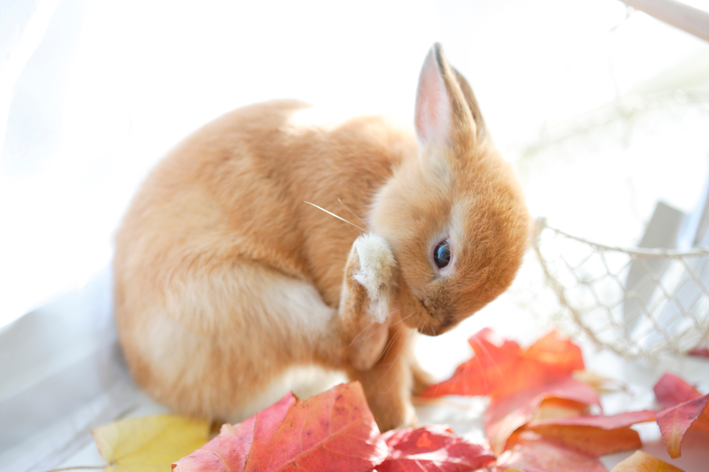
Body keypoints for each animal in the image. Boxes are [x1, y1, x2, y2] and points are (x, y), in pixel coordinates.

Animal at [113, 43, 530, 431]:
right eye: (442, 254)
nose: (431, 329)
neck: (384, 187)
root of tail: (160, 387)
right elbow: (376, 379)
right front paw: (402, 430)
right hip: (246, 301)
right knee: (346, 347)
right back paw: (370, 270)